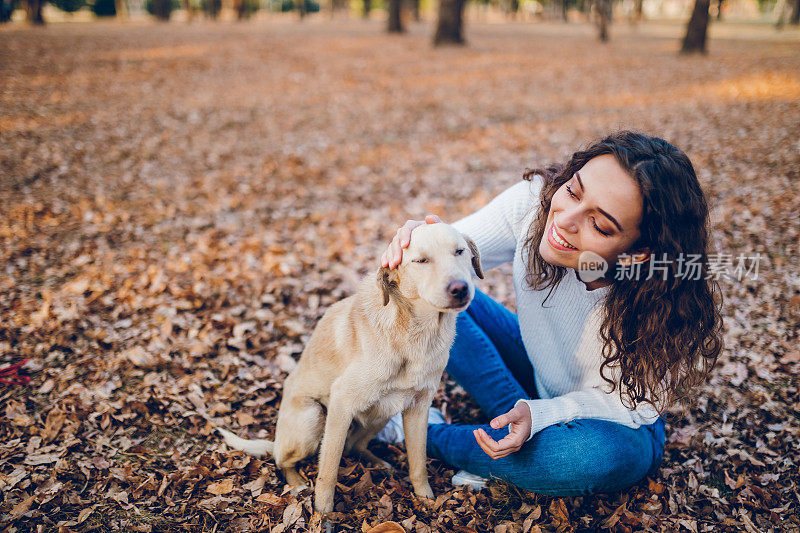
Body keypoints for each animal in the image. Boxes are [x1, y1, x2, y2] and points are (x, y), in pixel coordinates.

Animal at [217, 222, 482, 512]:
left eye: (459, 251)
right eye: (421, 261)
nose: (460, 288)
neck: (417, 334)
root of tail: (276, 441)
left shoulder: (418, 408)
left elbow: (418, 462)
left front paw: (427, 500)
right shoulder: (341, 404)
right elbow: (328, 470)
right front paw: (322, 512)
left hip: (384, 412)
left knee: (355, 445)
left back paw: (378, 462)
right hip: (314, 416)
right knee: (283, 461)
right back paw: (297, 483)